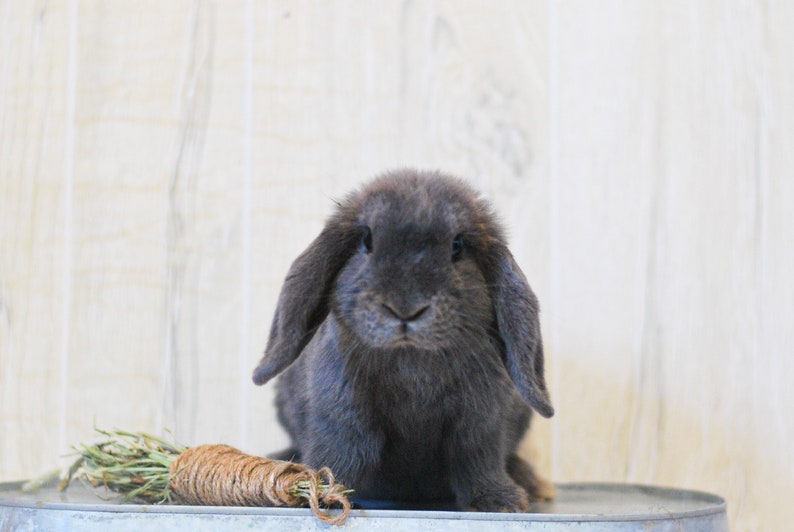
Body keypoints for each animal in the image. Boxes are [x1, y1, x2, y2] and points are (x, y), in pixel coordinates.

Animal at [252, 169, 554, 512]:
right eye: (367, 241)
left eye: (457, 246)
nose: (405, 308)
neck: (411, 360)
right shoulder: (343, 409)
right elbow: (343, 448)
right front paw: (321, 491)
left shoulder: (480, 418)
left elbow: (477, 455)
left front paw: (500, 501)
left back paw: (531, 482)